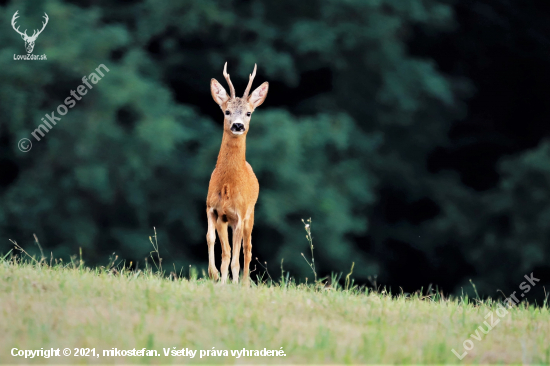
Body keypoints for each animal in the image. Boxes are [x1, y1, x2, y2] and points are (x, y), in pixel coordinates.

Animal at [207, 62, 270, 286]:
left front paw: (231, 282)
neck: (228, 185)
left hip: (250, 215)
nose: (238, 125)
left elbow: (235, 255)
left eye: (249, 113)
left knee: (247, 249)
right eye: (227, 111)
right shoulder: (215, 210)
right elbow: (215, 243)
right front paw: (216, 275)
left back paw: (244, 283)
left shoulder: (240, 214)